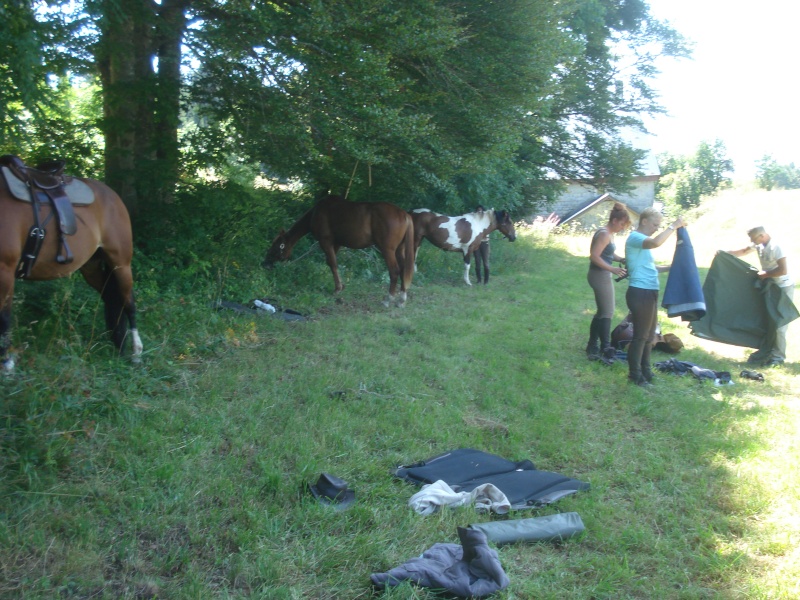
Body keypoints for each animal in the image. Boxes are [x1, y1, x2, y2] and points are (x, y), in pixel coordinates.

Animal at [0, 155, 142, 370]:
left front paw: (6, 363)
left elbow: (4, 317)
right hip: (92, 267)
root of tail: (111, 194)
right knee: (111, 296)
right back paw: (119, 345)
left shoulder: (5, 270)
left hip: (121, 262)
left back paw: (136, 352)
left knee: (129, 302)